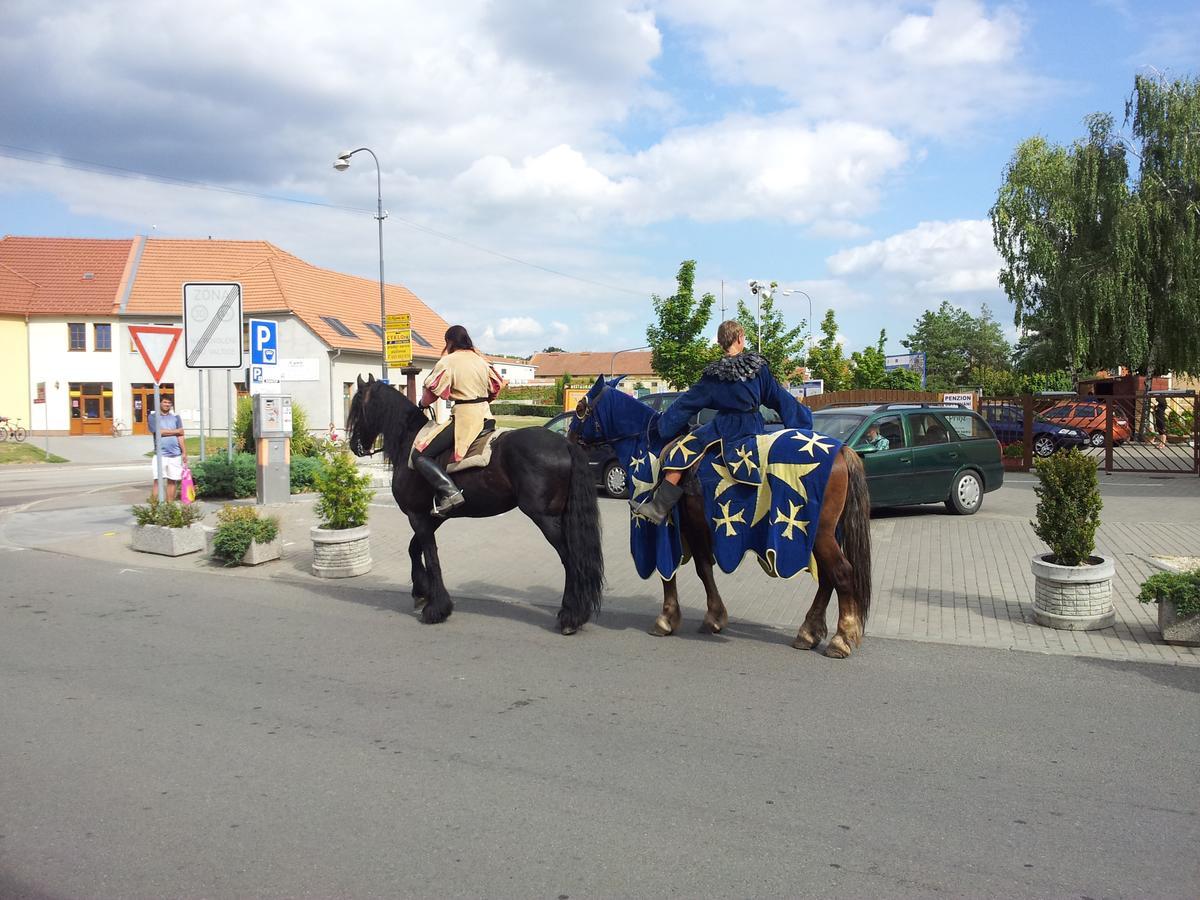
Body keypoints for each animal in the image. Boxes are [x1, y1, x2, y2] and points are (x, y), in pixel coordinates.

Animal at [343, 374, 604, 633]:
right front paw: (421, 593)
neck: (409, 441)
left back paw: (571, 616)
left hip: (546, 519)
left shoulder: (417, 516)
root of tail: (565, 444)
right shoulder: (431, 517)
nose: (354, 445)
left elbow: (430, 556)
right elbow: (414, 549)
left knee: (571, 559)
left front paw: (436, 608)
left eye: (357, 408)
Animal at [571, 376, 873, 657]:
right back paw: (809, 633)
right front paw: (714, 617)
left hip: (820, 534)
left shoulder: (668, 529)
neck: (651, 449)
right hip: (825, 535)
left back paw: (841, 638)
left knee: (841, 573)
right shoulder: (696, 528)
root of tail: (842, 450)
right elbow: (704, 568)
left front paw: (667, 618)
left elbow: (675, 573)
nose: (570, 438)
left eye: (581, 408)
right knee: (827, 578)